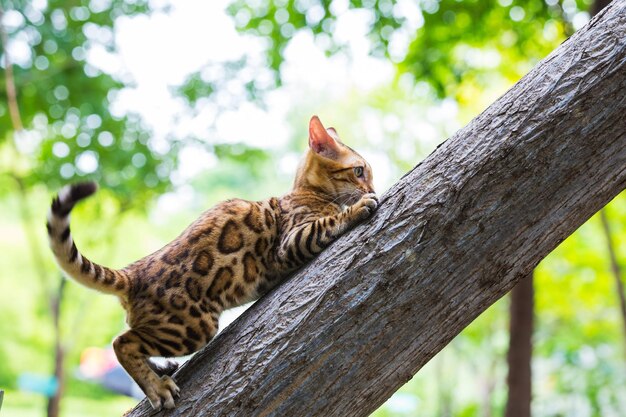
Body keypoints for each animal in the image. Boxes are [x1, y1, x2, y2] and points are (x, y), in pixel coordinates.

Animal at [45, 114, 376, 410]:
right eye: (359, 171)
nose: (372, 189)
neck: (306, 192)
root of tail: (134, 273)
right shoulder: (292, 240)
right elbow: (329, 222)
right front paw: (359, 207)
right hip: (193, 326)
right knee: (122, 342)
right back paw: (156, 388)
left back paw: (161, 371)